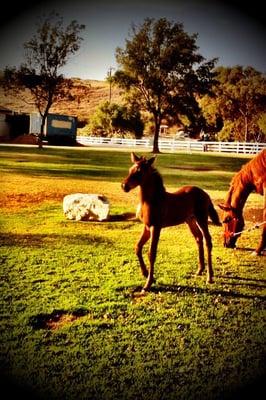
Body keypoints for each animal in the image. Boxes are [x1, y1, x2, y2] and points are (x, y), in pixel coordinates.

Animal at [121, 152, 220, 292]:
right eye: (130, 170)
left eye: (140, 171)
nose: (124, 186)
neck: (152, 200)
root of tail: (205, 194)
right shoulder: (147, 227)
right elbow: (138, 247)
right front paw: (145, 273)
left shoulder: (155, 227)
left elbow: (151, 253)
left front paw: (148, 283)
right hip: (190, 220)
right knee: (198, 237)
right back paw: (200, 270)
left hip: (201, 218)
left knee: (208, 241)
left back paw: (209, 277)